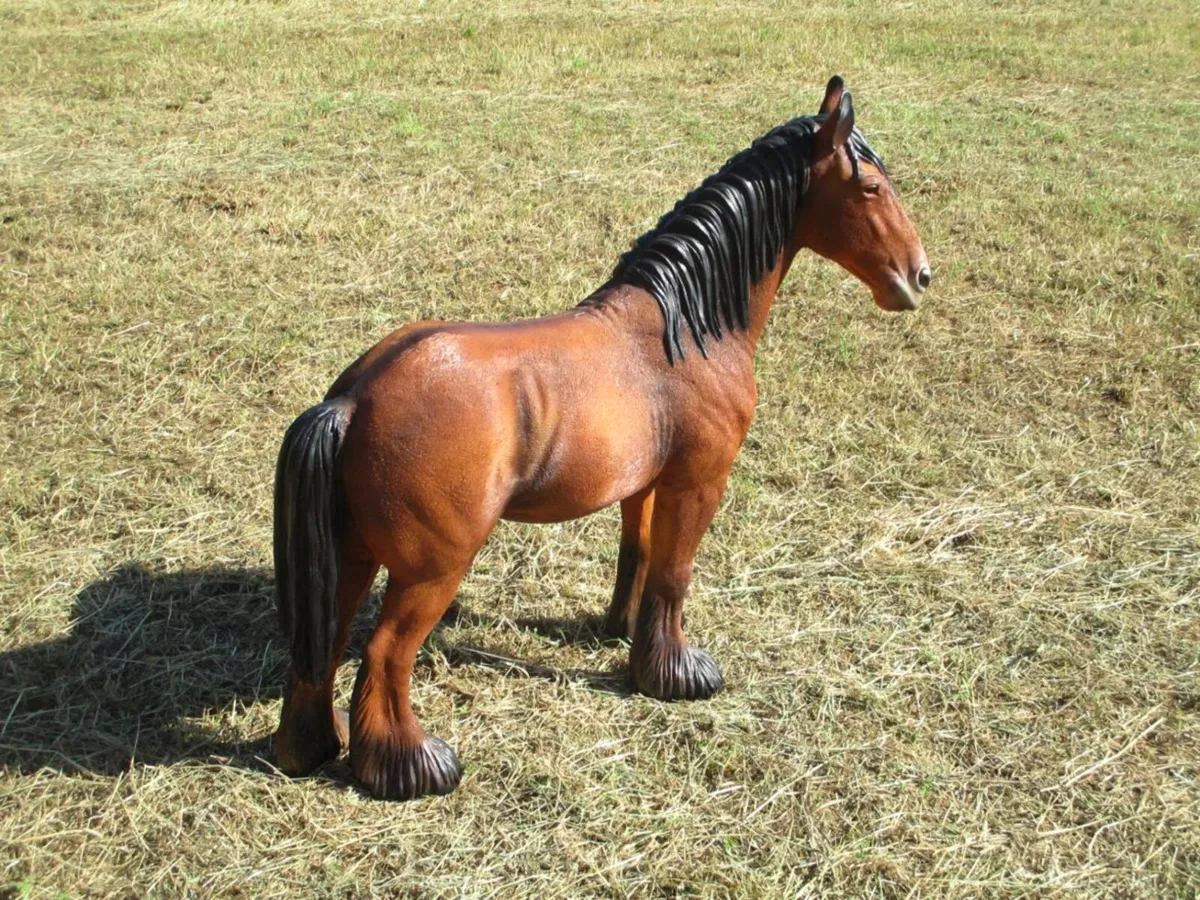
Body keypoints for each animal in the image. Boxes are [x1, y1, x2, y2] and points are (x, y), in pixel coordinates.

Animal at [272, 76, 932, 800]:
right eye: (869, 186)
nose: (918, 277)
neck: (683, 330)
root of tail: (353, 399)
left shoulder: (646, 484)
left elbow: (637, 556)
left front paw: (621, 640)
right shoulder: (699, 481)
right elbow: (674, 573)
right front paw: (677, 676)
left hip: (354, 552)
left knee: (326, 641)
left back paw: (313, 746)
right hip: (433, 568)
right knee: (386, 653)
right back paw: (414, 767)